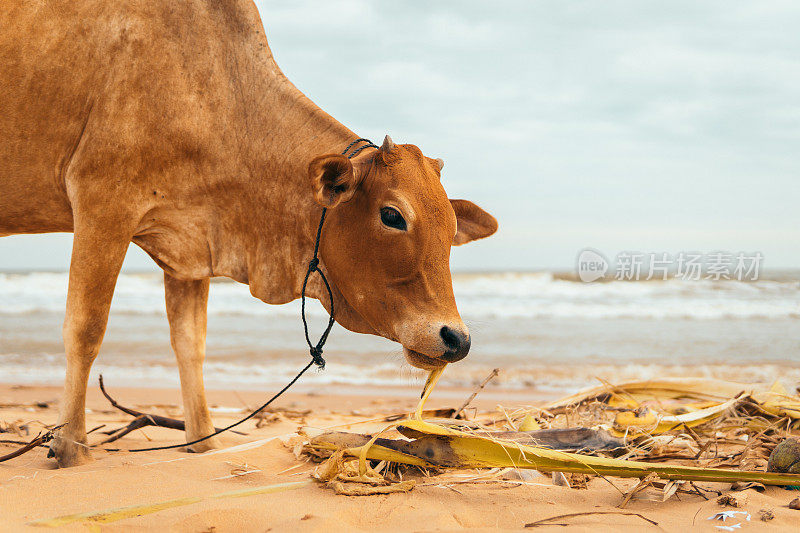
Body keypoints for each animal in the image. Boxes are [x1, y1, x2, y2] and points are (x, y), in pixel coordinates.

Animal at [0, 1, 496, 466]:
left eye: (452, 229)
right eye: (392, 215)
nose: (457, 339)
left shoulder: (190, 248)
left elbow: (191, 345)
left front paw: (203, 442)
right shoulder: (102, 202)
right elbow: (85, 329)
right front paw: (70, 446)